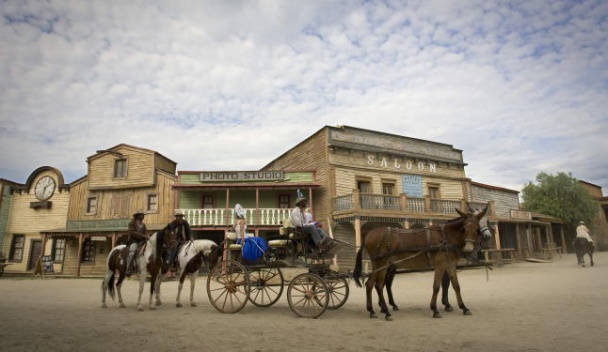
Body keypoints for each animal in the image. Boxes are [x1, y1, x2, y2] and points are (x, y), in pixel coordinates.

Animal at [354, 205, 486, 320]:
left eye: (477, 229)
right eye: (464, 229)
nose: (469, 248)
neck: (446, 237)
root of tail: (368, 235)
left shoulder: (450, 265)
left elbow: (456, 286)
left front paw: (463, 307)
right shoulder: (440, 265)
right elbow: (436, 287)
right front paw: (434, 309)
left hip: (379, 264)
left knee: (370, 284)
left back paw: (372, 310)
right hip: (382, 264)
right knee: (379, 285)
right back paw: (386, 311)